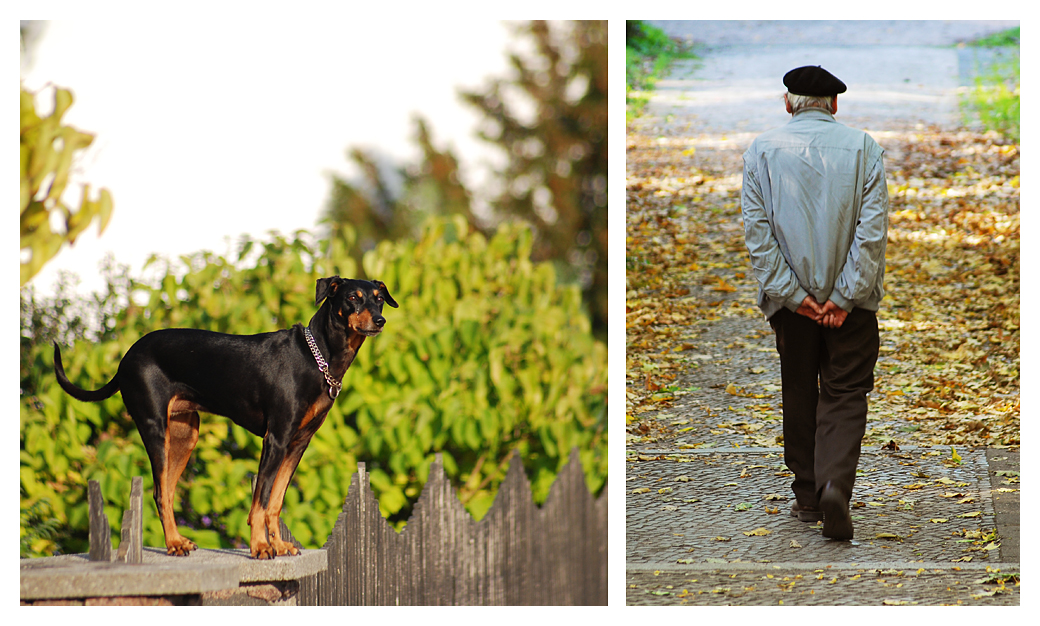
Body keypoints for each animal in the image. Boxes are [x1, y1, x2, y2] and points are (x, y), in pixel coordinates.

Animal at [55, 274, 397, 557]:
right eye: (352, 298)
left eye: (379, 297)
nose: (380, 320)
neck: (319, 358)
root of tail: (126, 357)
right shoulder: (275, 439)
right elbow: (260, 501)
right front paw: (260, 547)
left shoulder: (298, 443)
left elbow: (275, 501)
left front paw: (279, 545)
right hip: (155, 429)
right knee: (159, 492)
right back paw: (174, 544)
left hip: (185, 435)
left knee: (168, 489)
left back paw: (179, 540)